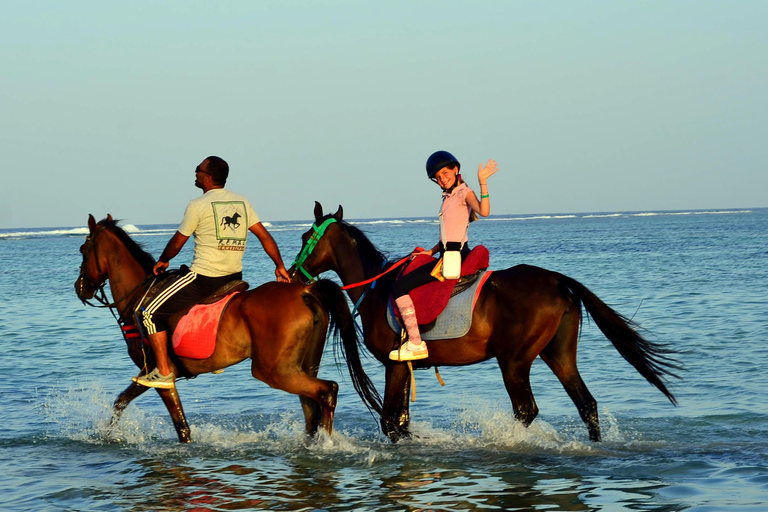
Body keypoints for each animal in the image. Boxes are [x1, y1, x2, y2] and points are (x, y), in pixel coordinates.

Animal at [75, 214, 380, 442]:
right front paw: (108, 436)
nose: (80, 288)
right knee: (312, 406)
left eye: (83, 251)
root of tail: (305, 291)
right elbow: (120, 402)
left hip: (273, 370)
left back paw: (326, 445)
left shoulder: (160, 374)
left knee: (327, 391)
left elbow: (180, 425)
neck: (140, 295)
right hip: (301, 366)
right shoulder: (147, 374)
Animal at [288, 202, 680, 442]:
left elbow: (390, 422)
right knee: (587, 405)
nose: (292, 274)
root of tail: (556, 280)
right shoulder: (404, 368)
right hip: (558, 354)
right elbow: (399, 421)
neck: (377, 286)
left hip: (514, 361)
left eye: (306, 237)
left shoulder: (394, 364)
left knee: (526, 410)